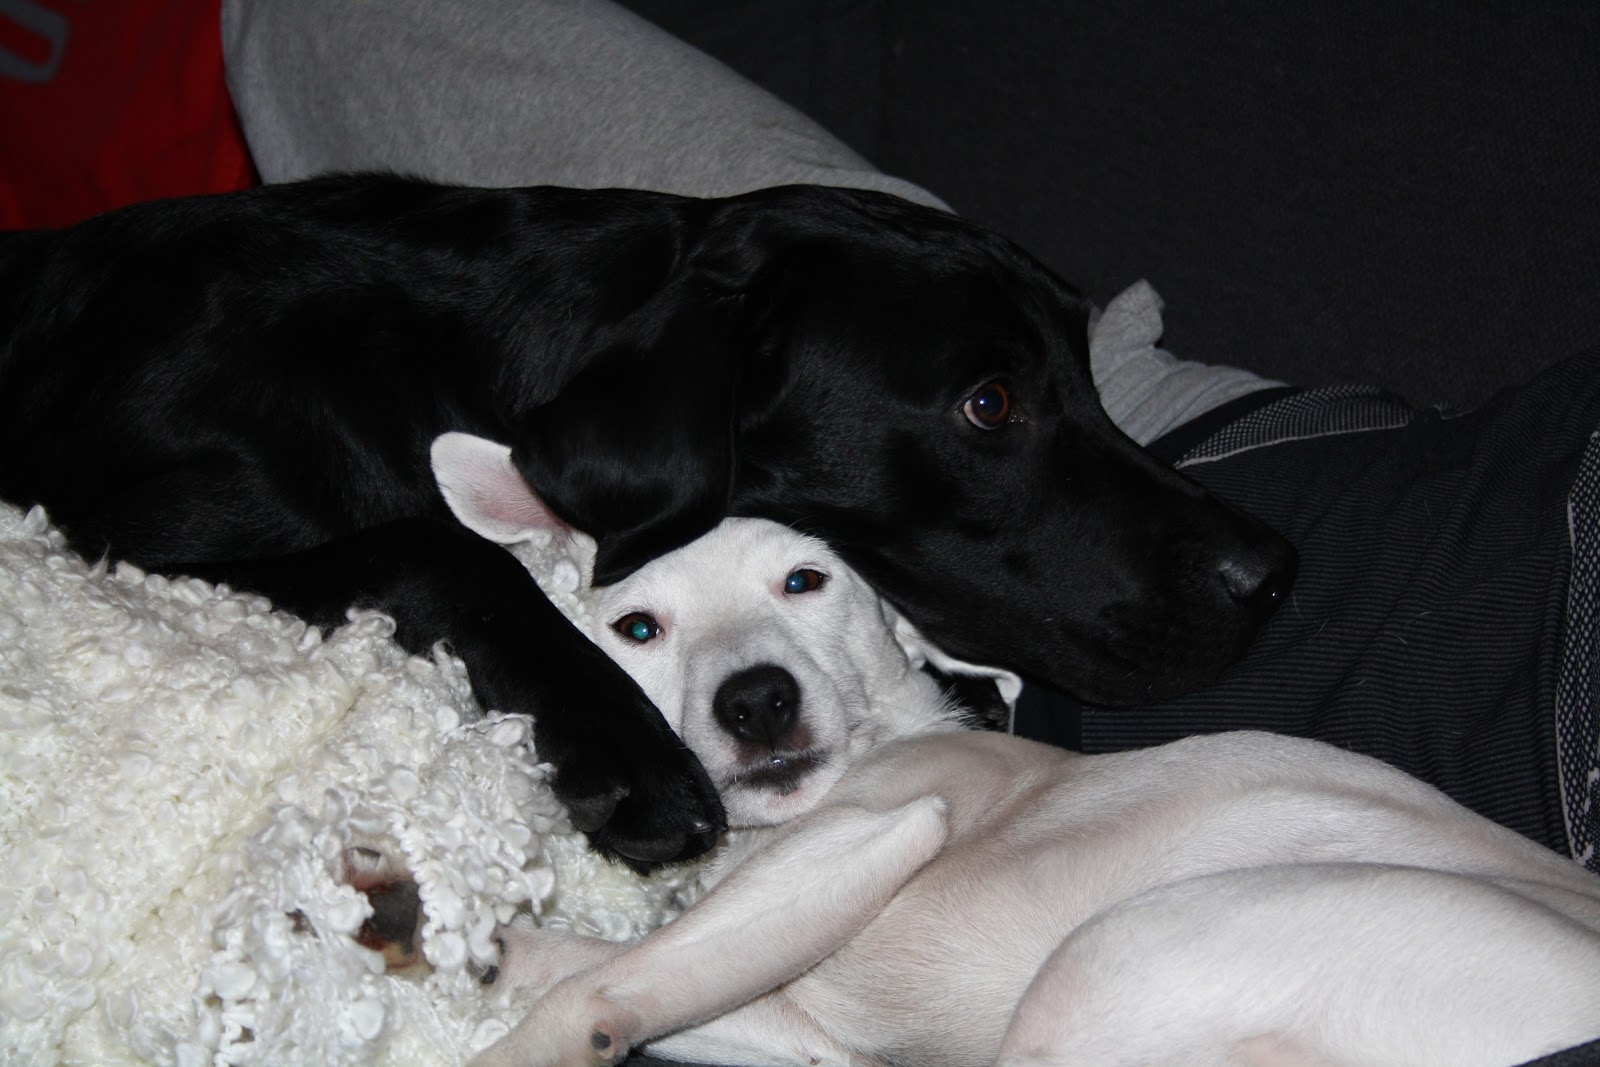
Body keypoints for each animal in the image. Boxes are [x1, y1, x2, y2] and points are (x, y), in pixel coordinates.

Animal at [0, 174, 1295, 866]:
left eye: (1084, 361)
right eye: (989, 402)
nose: (1271, 568)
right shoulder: (129, 538)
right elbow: (439, 542)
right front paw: (623, 750)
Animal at [427, 432, 1600, 1067]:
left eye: (806, 580)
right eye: (637, 627)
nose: (757, 701)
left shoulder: (868, 837)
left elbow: (605, 981)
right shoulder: (810, 1028)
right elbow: (630, 969)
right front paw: (507, 952)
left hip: (1116, 957)